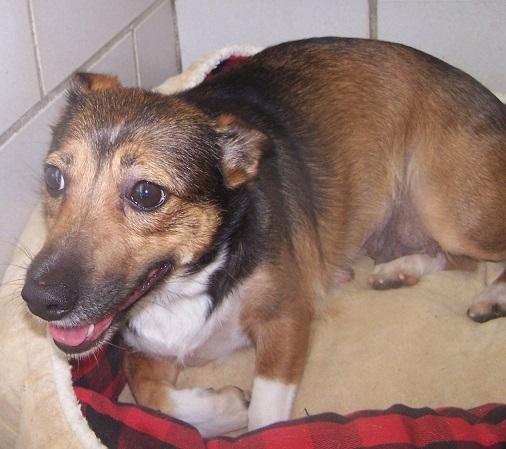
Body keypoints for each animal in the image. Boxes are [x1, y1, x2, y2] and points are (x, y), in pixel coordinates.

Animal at [21, 37, 506, 437]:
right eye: (53, 177)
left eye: (146, 193)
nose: (39, 301)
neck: (190, 282)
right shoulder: (142, 353)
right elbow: (154, 398)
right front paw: (227, 408)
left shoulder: (286, 319)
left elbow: (265, 415)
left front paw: (248, 416)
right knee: (449, 258)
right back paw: (400, 270)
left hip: (449, 211)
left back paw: (492, 297)